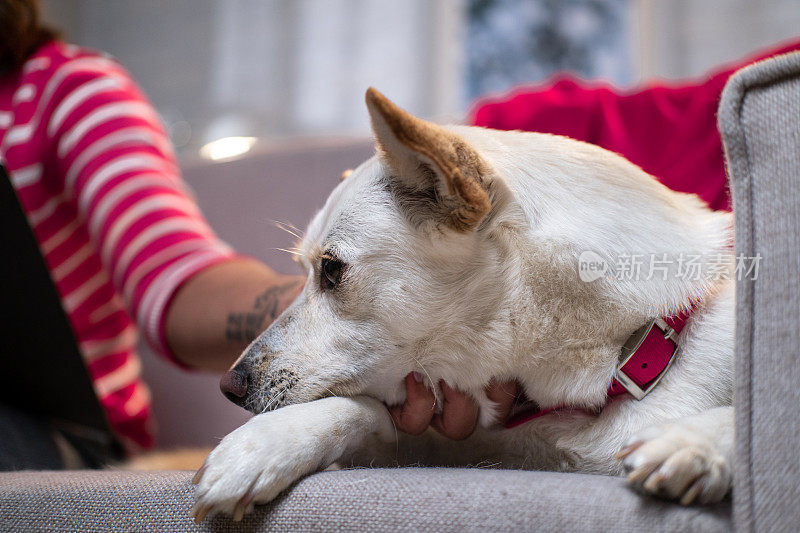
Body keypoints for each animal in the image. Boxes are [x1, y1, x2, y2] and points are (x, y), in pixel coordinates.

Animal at [191, 89, 736, 520]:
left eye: (331, 270)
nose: (229, 386)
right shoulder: (463, 441)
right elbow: (362, 408)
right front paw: (263, 446)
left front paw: (693, 443)